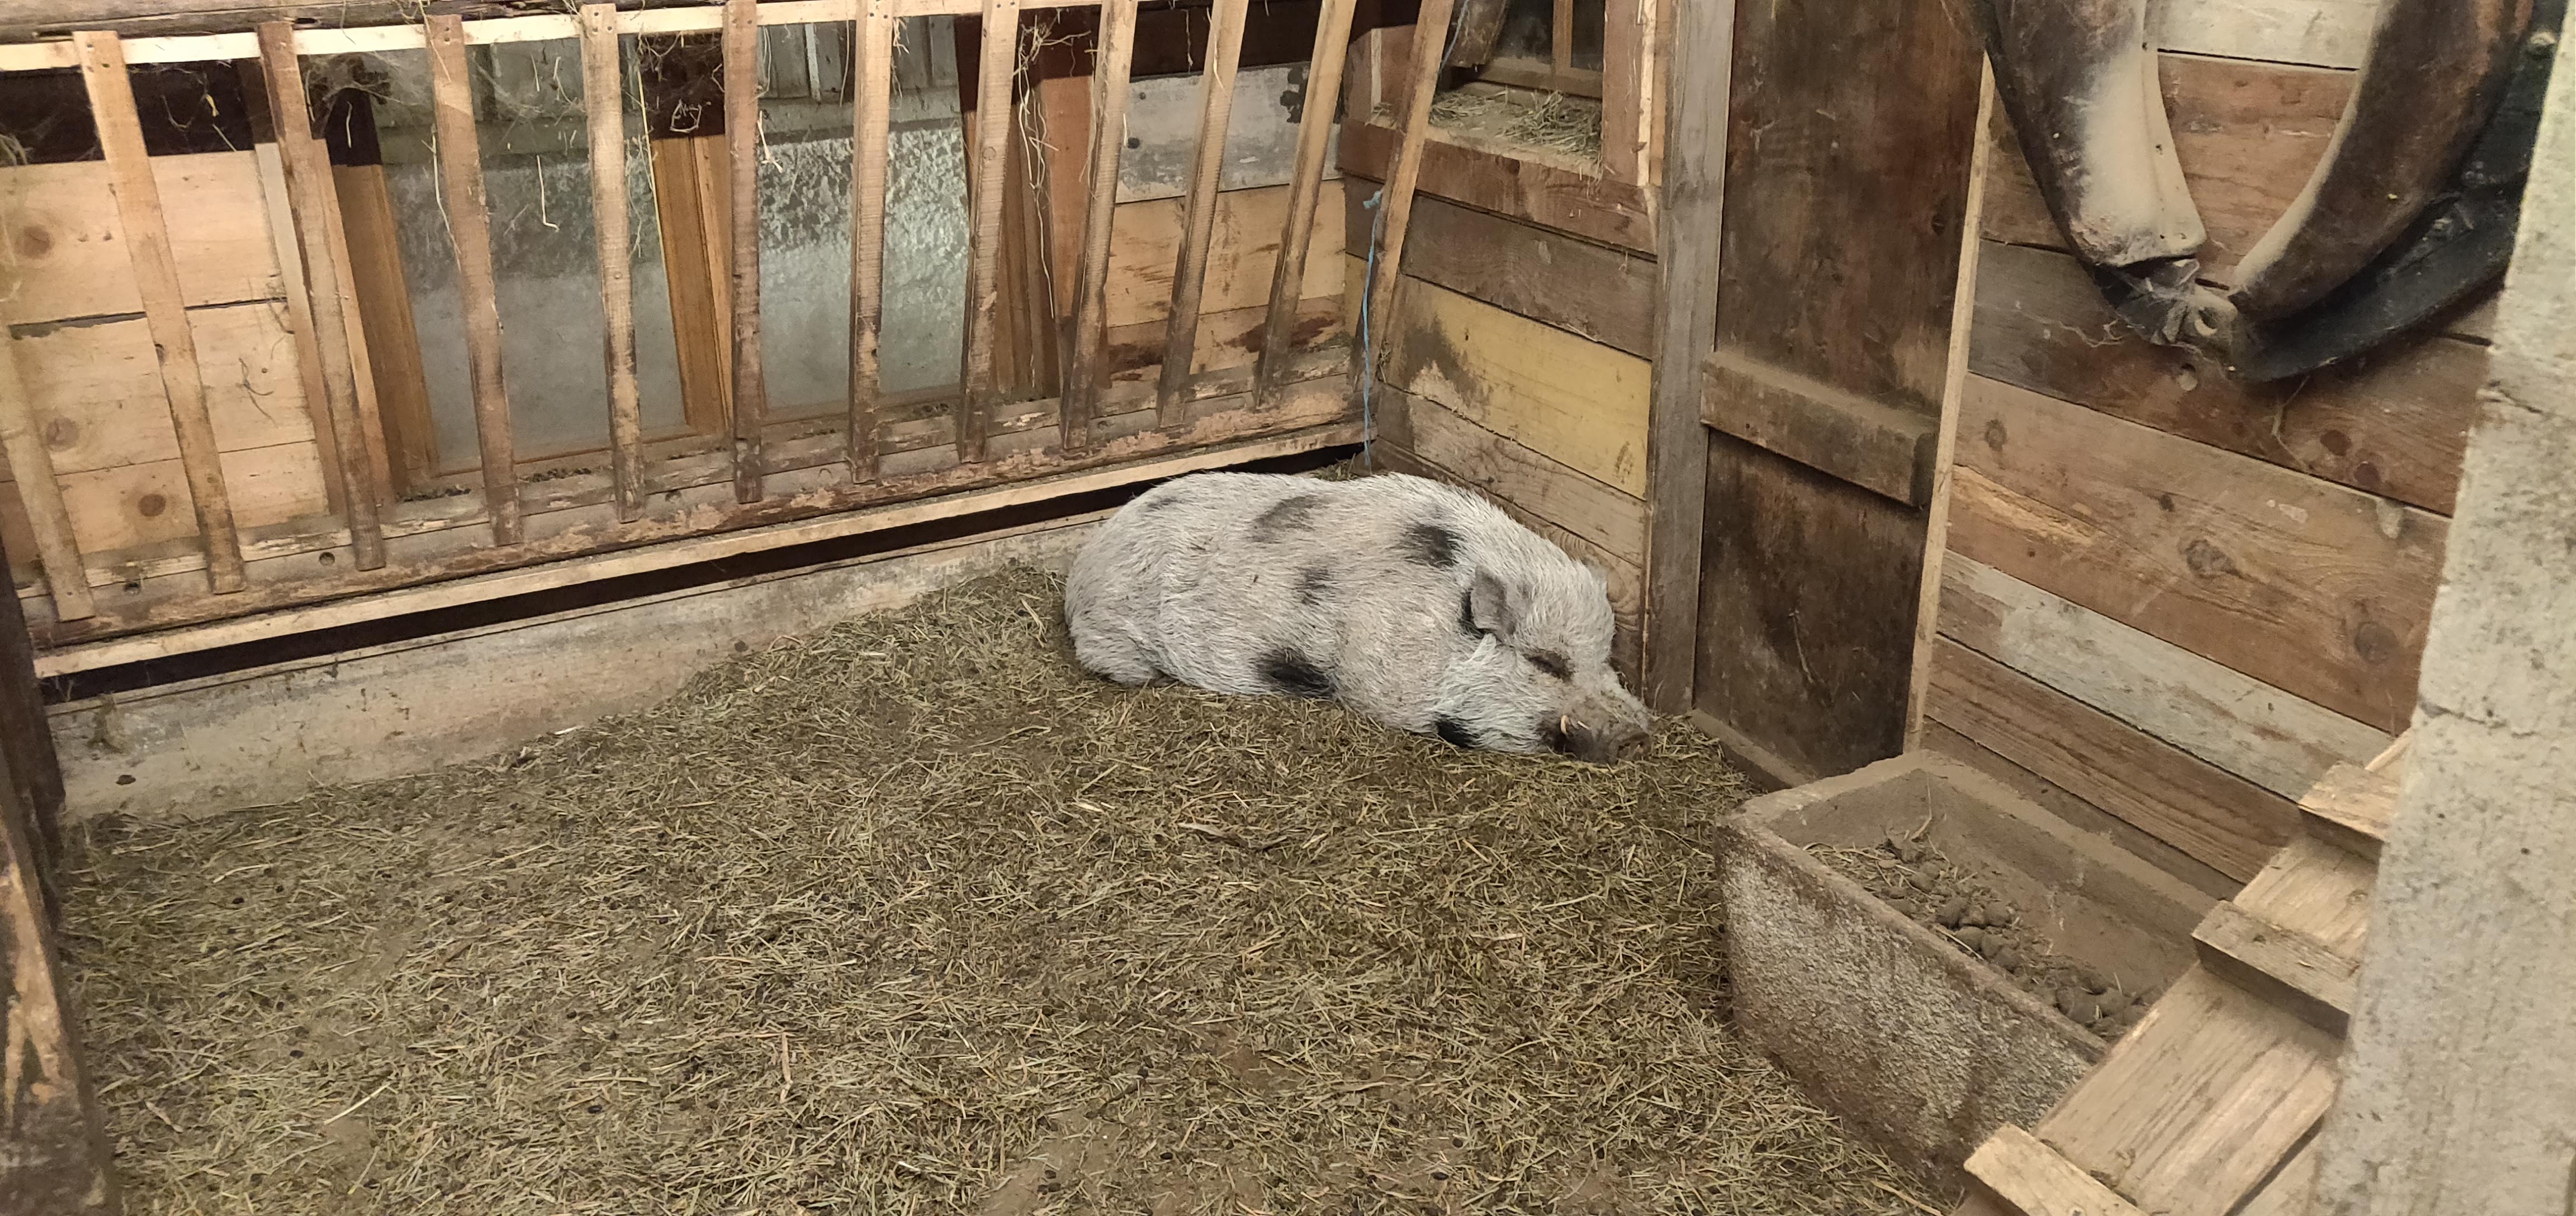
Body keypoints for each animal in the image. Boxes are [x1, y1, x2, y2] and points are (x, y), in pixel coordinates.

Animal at [1063, 470, 1651, 763]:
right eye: (1546, 662)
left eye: (1606, 658)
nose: (1638, 732)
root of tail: (1081, 568)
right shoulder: (1382, 683)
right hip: (1113, 640)